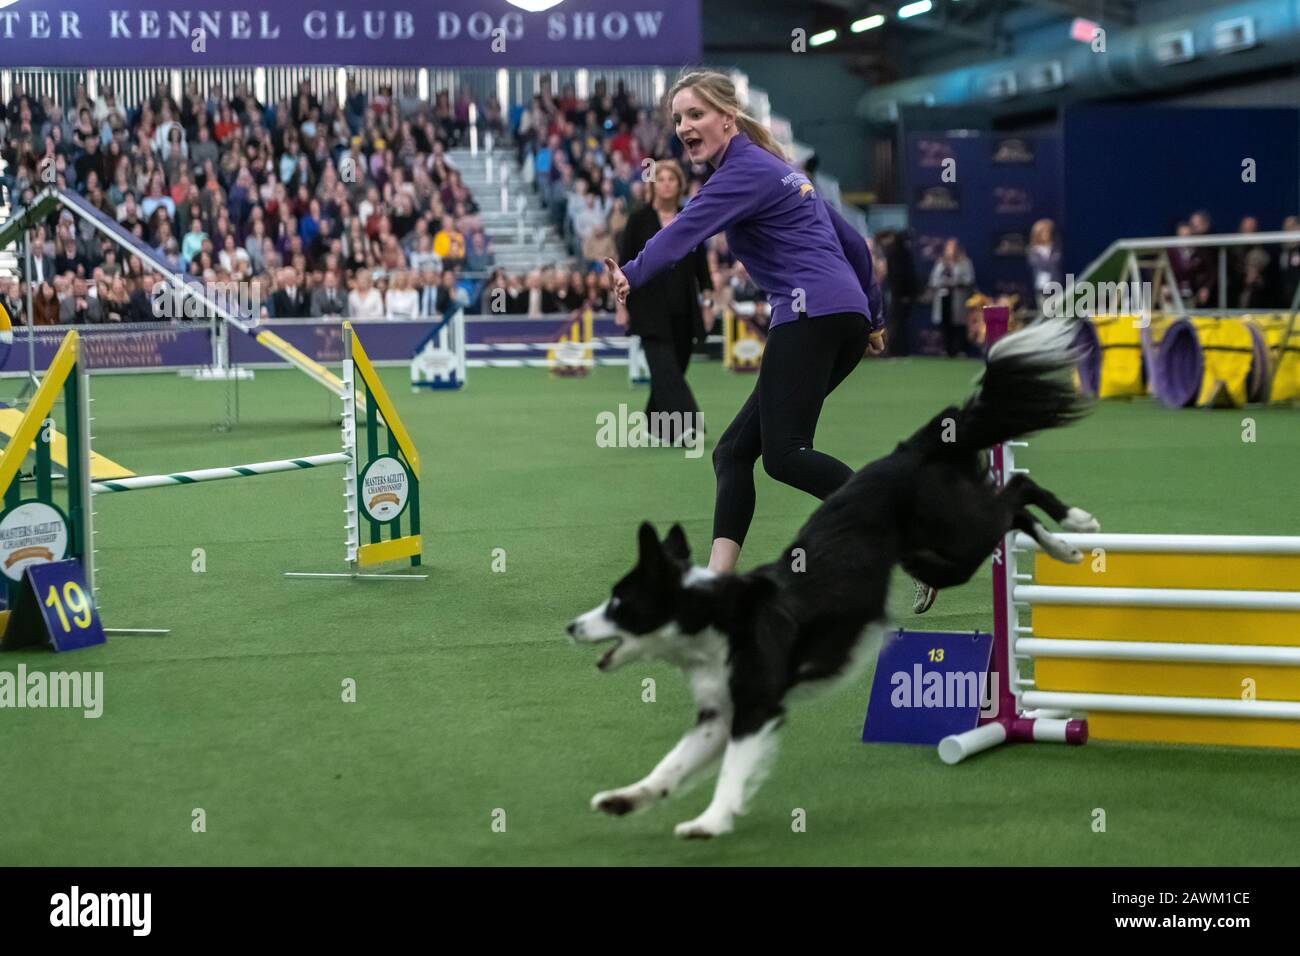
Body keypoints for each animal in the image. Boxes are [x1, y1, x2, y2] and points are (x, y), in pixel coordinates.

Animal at [566, 321, 1097, 837]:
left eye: (620, 602)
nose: (570, 627)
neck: (715, 620)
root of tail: (910, 449)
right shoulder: (719, 710)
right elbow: (671, 766)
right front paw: (623, 799)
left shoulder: (758, 703)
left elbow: (733, 768)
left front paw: (710, 821)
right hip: (933, 554)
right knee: (1013, 507)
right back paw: (1066, 546)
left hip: (957, 542)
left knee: (1017, 491)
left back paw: (1078, 524)